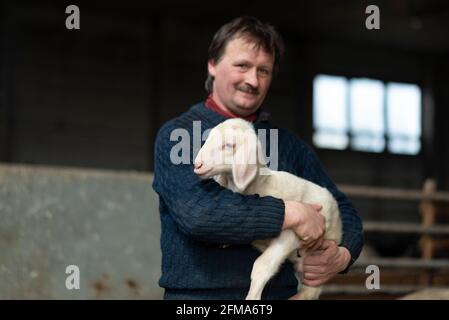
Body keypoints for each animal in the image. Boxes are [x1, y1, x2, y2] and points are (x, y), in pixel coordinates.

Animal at [192, 117, 344, 300]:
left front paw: (253, 297)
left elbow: (262, 266)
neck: (260, 185)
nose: (197, 165)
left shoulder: (292, 234)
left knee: (310, 292)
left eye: (228, 145)